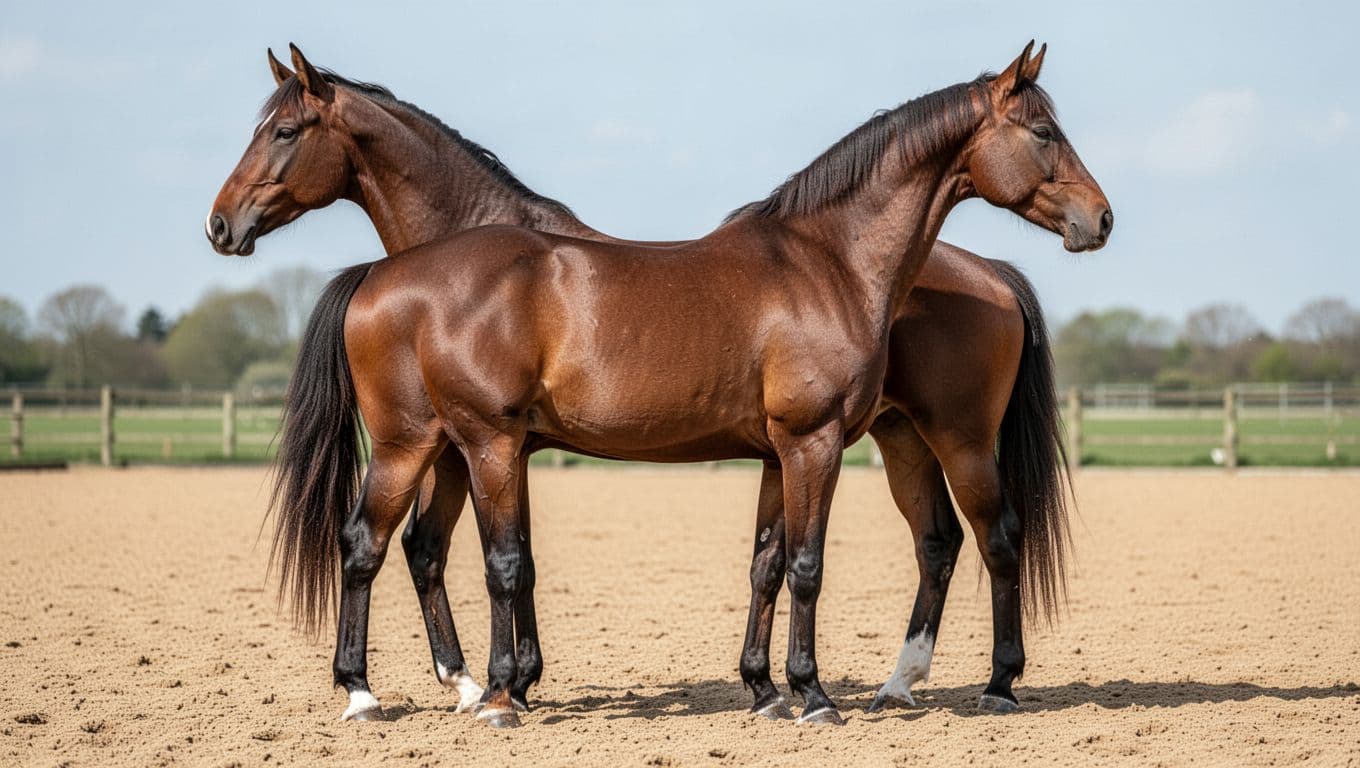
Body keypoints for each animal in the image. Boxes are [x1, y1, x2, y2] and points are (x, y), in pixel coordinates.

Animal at [208, 42, 1109, 726]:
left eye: (283, 130)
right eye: (1043, 132)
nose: (1098, 219)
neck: (828, 259)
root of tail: (381, 277)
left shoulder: (784, 449)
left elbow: (767, 564)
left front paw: (766, 691)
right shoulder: (802, 444)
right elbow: (797, 564)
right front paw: (807, 695)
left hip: (931, 438)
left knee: (967, 540)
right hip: (421, 443)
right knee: (370, 543)